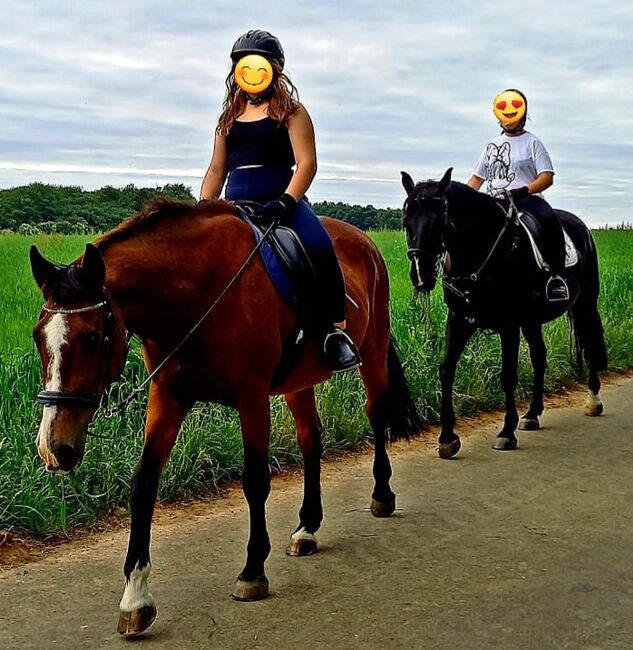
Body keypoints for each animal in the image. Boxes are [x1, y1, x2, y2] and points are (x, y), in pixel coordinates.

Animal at [29, 196, 420, 632]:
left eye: (93, 337)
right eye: (38, 336)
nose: (53, 448)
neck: (197, 293)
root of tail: (364, 241)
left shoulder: (252, 397)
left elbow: (255, 481)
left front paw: (253, 571)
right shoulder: (168, 397)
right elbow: (144, 483)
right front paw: (135, 596)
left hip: (373, 352)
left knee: (376, 415)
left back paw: (382, 495)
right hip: (299, 381)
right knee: (310, 438)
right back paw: (307, 528)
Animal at [402, 168, 604, 456]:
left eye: (439, 221)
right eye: (406, 221)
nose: (421, 276)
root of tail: (581, 226)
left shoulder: (509, 325)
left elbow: (508, 375)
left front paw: (506, 432)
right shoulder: (460, 320)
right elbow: (446, 369)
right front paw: (447, 437)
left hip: (585, 303)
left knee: (589, 342)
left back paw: (593, 400)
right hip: (532, 321)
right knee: (540, 356)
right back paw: (532, 414)